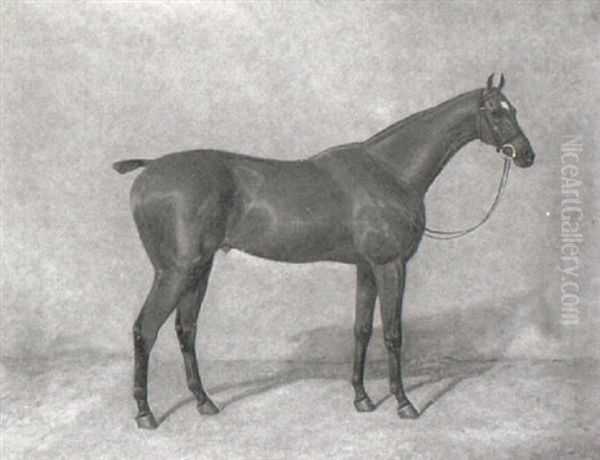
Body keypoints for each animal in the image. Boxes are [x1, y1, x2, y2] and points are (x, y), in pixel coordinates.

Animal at [112, 73, 536, 430]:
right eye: (496, 111)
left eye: (513, 109)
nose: (527, 155)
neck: (389, 172)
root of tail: (148, 170)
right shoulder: (391, 266)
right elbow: (393, 333)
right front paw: (403, 403)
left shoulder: (367, 268)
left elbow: (362, 330)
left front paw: (363, 398)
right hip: (176, 272)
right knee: (145, 330)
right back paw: (146, 413)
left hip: (199, 270)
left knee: (185, 330)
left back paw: (204, 402)